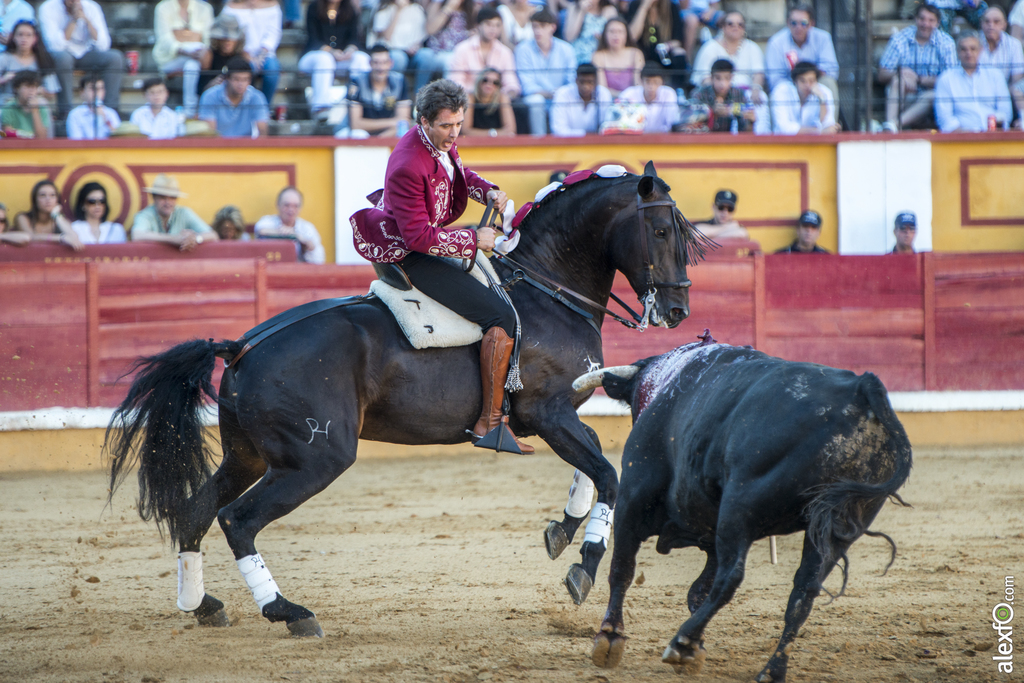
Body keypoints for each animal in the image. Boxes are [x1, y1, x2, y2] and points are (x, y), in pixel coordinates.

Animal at [108, 160, 700, 634]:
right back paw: (288, 612)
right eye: (661, 229)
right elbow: (608, 473)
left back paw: (202, 603)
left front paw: (562, 529)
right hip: (316, 458)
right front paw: (583, 565)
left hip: (248, 454)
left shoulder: (562, 412)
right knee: (238, 519)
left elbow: (596, 459)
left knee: (196, 511)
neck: (546, 289)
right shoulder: (547, 412)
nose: (677, 311)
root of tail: (240, 347)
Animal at [577, 337, 913, 683]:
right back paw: (771, 670)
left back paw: (682, 643)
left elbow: (622, 570)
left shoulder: (633, 499)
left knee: (731, 577)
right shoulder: (709, 530)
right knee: (804, 592)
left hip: (739, 508)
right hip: (836, 528)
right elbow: (697, 590)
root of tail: (860, 388)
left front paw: (609, 638)